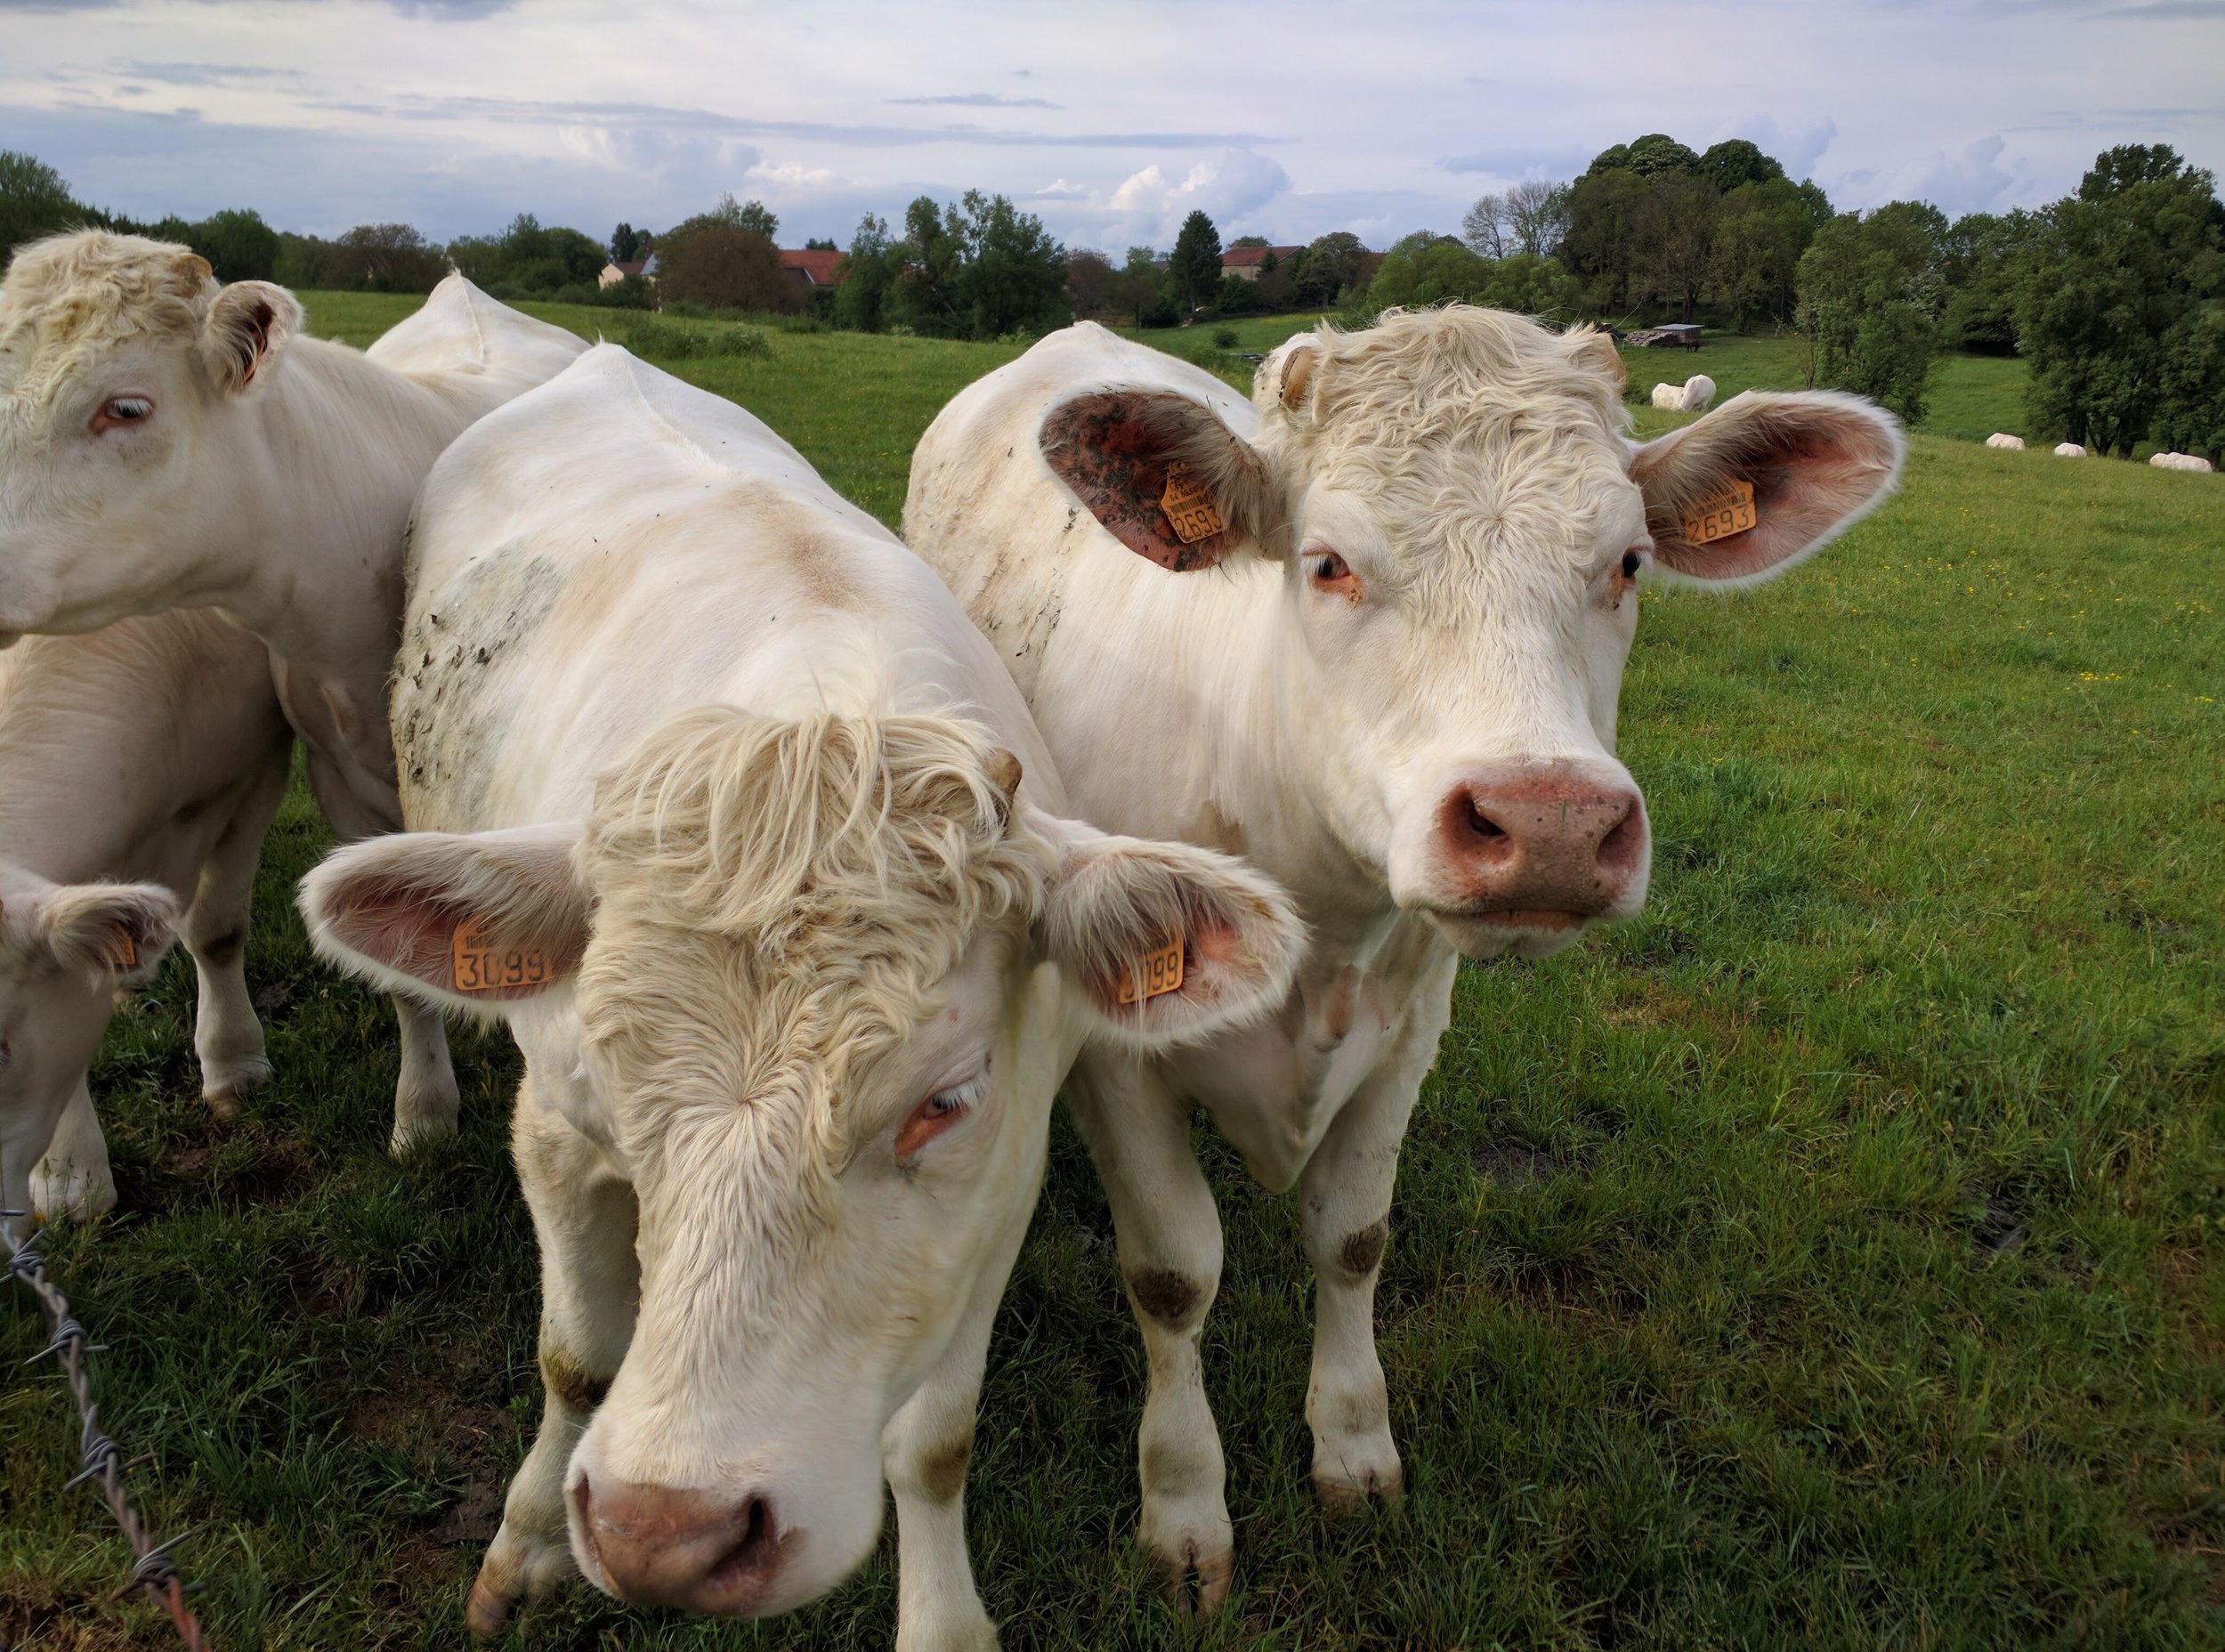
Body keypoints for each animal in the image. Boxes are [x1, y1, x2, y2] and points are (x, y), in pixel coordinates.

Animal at [295, 349, 1299, 1652]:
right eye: (610, 1074)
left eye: (943, 1100)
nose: (665, 1531)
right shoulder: (556, 1134)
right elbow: (577, 1357)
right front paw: (524, 1547)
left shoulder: (996, 1186)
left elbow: (934, 1441)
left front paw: (943, 1621)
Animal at [894, 313, 1905, 1620]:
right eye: (1328, 563)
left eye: (1629, 563)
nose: (1552, 822)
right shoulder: (1115, 1048)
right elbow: (1173, 1272)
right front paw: (1184, 1507)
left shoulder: (1412, 1026)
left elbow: (1352, 1238)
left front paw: (1355, 1447)